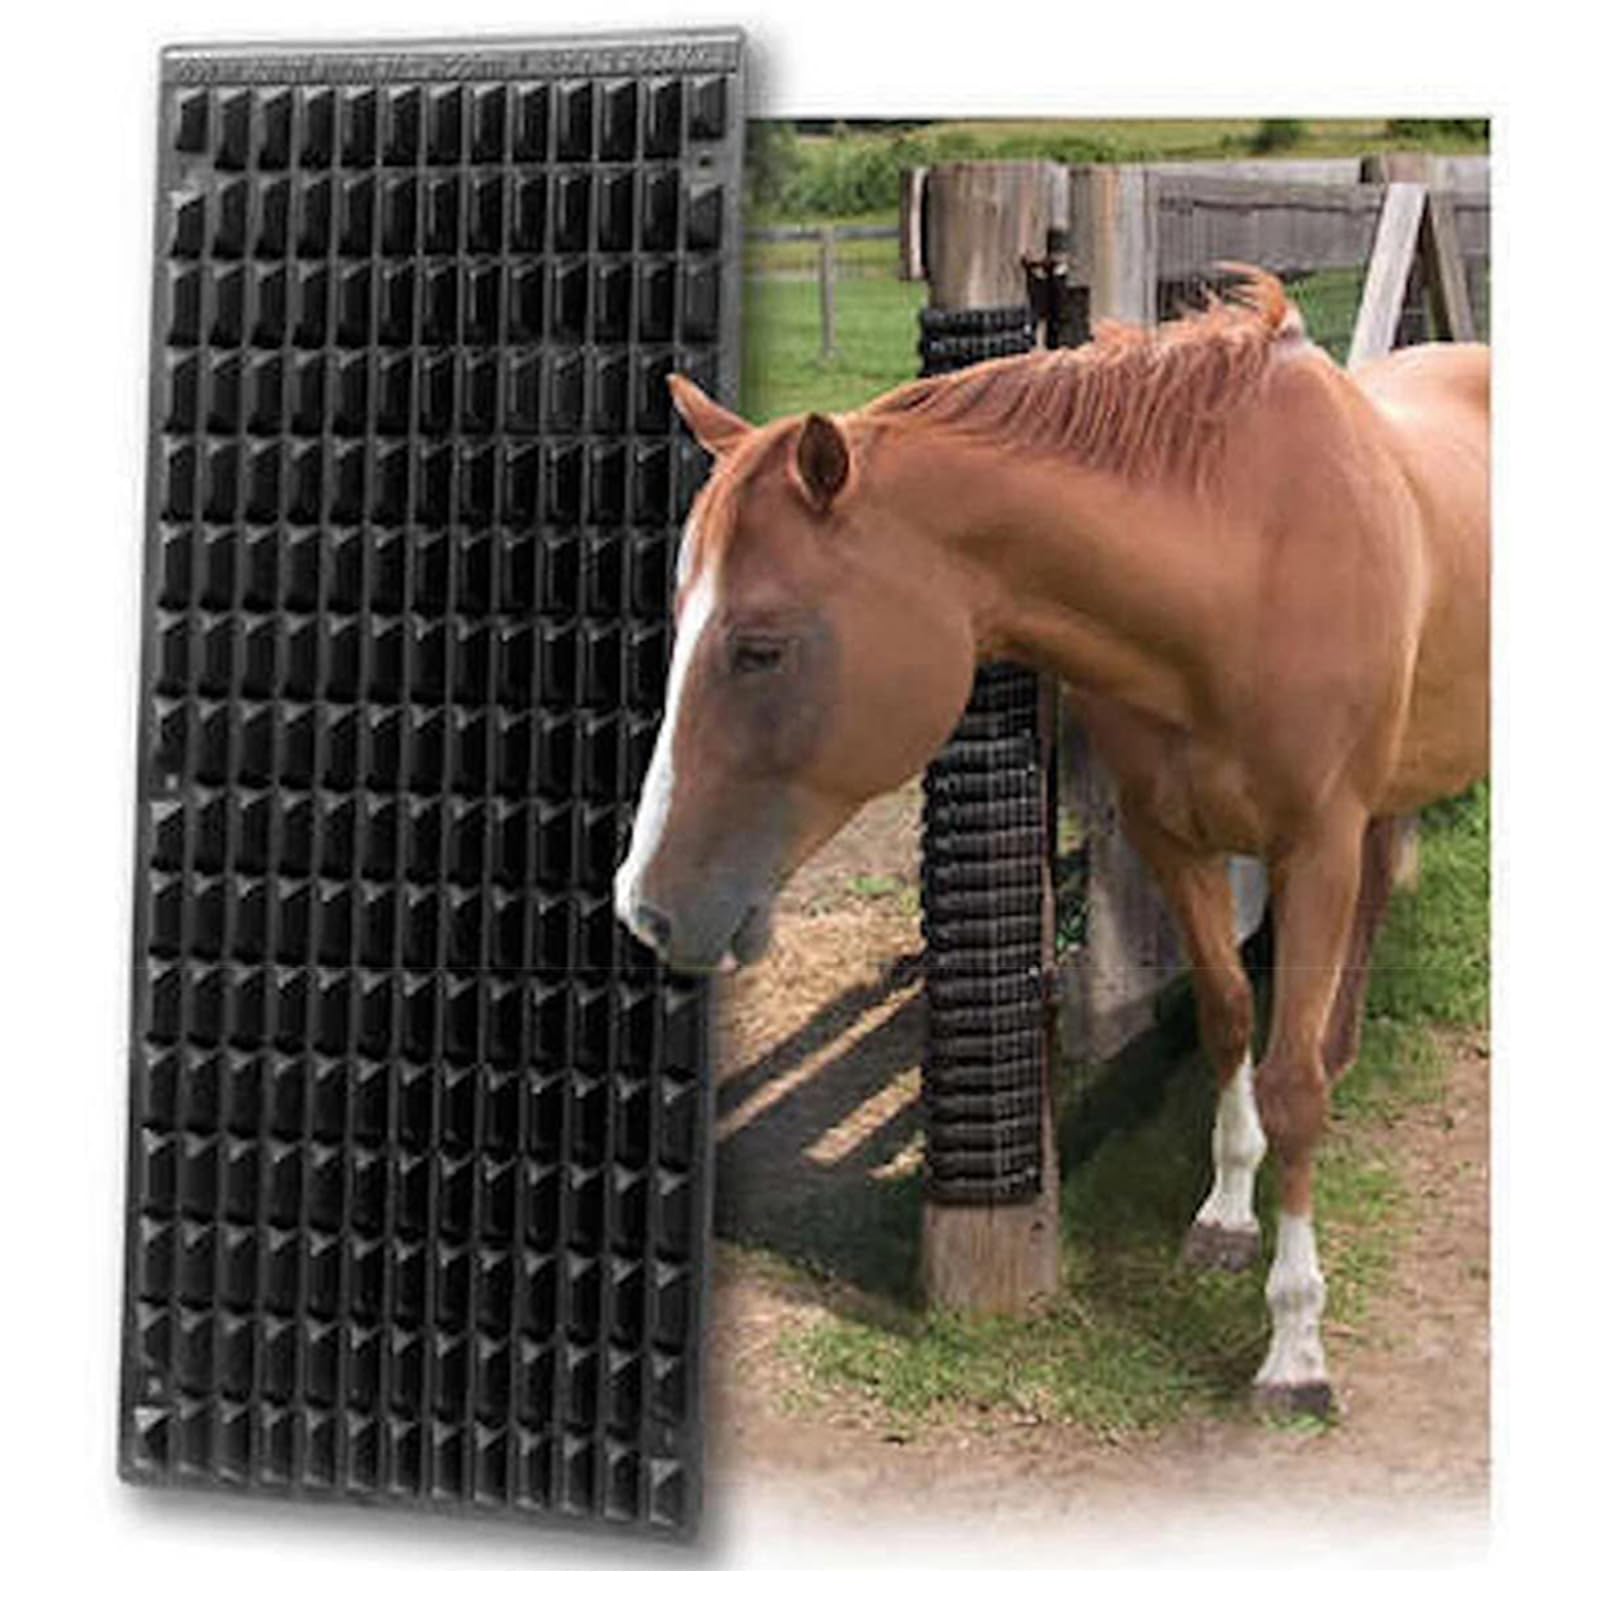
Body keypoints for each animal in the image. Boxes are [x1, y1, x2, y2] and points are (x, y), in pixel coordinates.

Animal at [613, 268, 1489, 1416]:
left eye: (760, 647)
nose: (647, 905)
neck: (1247, 557)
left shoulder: (1315, 848)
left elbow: (1291, 1088)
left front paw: (1296, 1345)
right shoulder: (1173, 841)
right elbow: (1228, 1018)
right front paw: (1225, 1213)